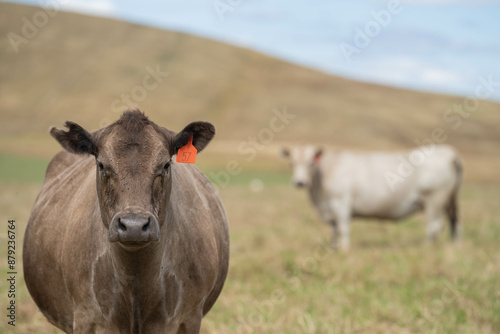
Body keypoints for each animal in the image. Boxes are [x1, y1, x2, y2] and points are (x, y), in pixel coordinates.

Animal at [284, 144, 462, 250]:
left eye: (310, 163)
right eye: (292, 163)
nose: (299, 182)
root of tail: (449, 153)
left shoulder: (341, 205)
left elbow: (342, 229)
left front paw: (344, 250)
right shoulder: (331, 211)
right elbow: (333, 231)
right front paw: (334, 249)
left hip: (435, 199)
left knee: (434, 226)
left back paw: (425, 247)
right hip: (449, 201)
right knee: (455, 222)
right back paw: (455, 246)